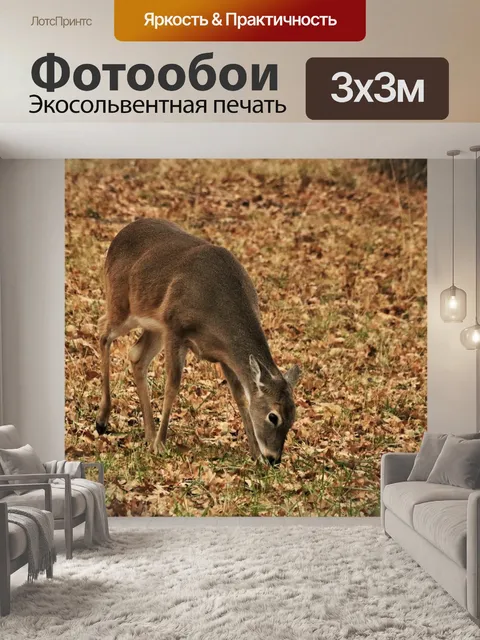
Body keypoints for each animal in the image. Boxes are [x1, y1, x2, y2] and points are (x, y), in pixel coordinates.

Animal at [95, 218, 300, 465]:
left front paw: (256, 455)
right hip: (122, 305)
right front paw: (161, 445)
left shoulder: (224, 354)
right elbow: (172, 385)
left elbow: (240, 397)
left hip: (154, 327)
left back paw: (148, 434)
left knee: (136, 355)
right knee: (103, 331)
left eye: (293, 417)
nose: (274, 459)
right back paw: (103, 420)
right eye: (273, 416)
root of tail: (118, 237)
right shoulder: (175, 329)